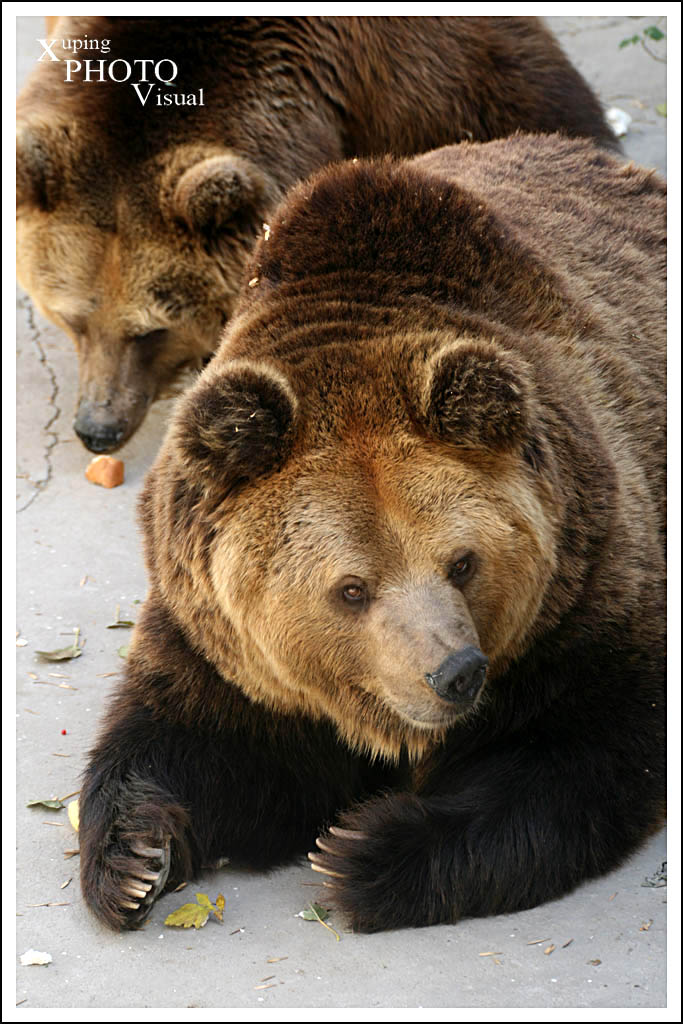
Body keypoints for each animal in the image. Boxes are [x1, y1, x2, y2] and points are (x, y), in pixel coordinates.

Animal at [77, 132, 663, 933]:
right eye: (351, 589)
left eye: (462, 562)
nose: (456, 671)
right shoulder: (227, 646)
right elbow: (187, 737)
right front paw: (135, 858)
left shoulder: (585, 592)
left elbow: (580, 755)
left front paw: (361, 850)